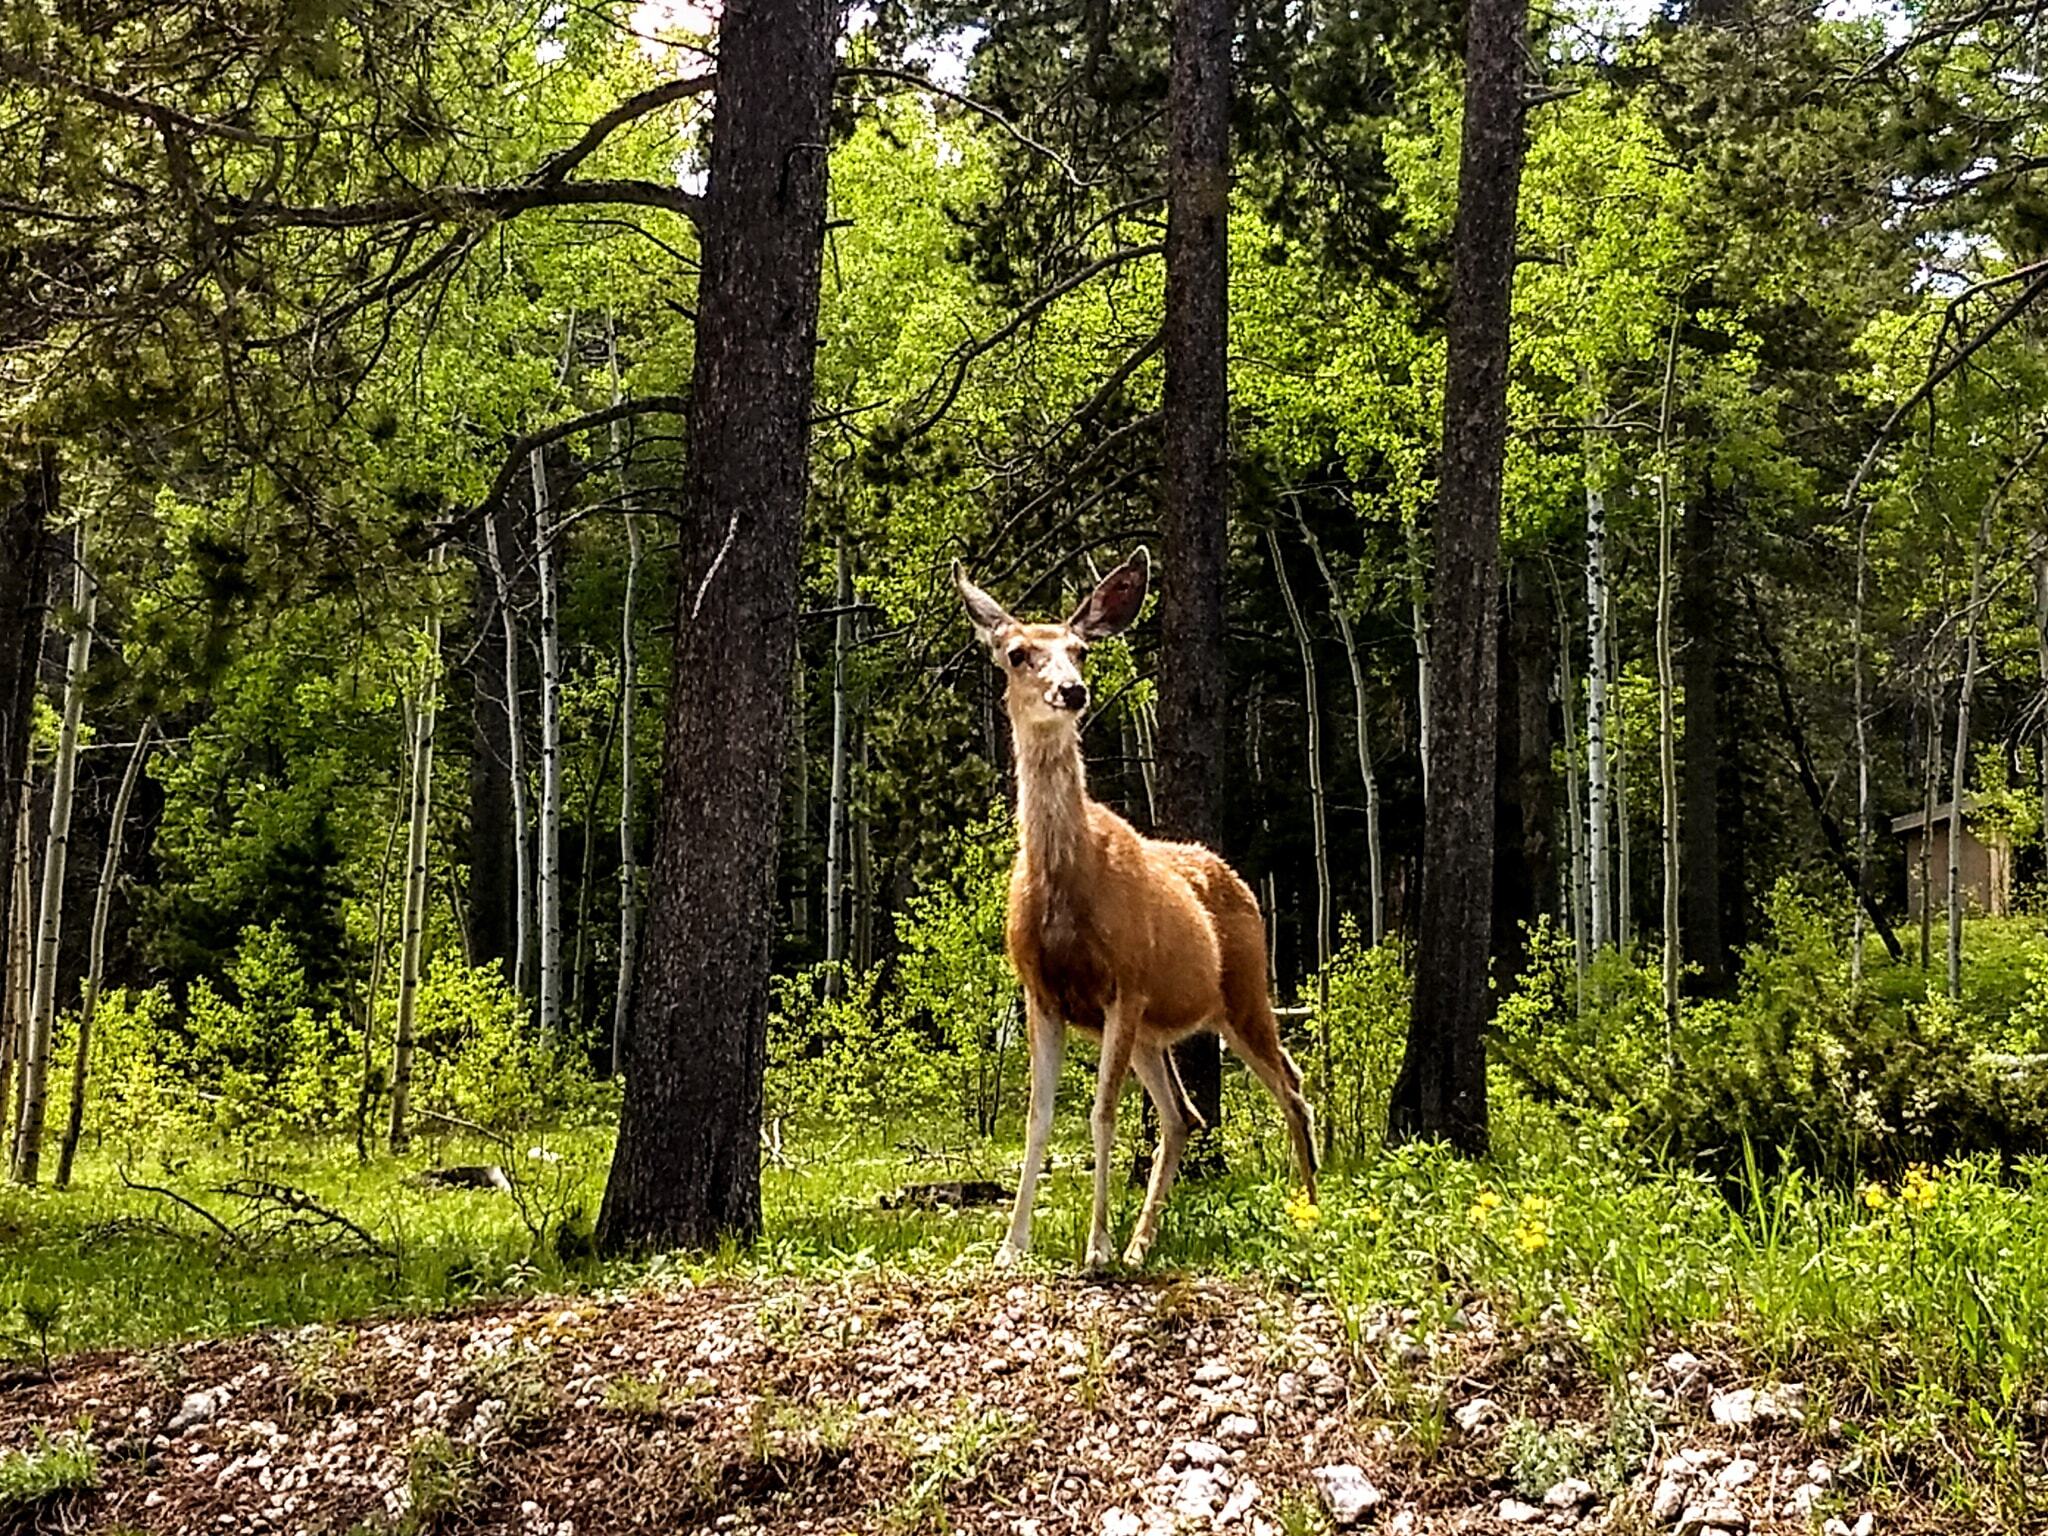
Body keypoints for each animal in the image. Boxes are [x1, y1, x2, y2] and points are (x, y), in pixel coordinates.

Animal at [954, 547, 1318, 1269]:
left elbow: (1101, 1113)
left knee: (1291, 1086)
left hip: (1243, 992)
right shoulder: (1042, 992)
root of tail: (1241, 883)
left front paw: (1092, 1246)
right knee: (1184, 1115)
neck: (1067, 889)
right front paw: (1013, 1245)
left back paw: (1312, 1212)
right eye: (1016, 653)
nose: (1072, 690)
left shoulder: (1122, 980)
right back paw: (1139, 1246)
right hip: (1155, 1028)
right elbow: (1036, 1117)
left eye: (1079, 650)